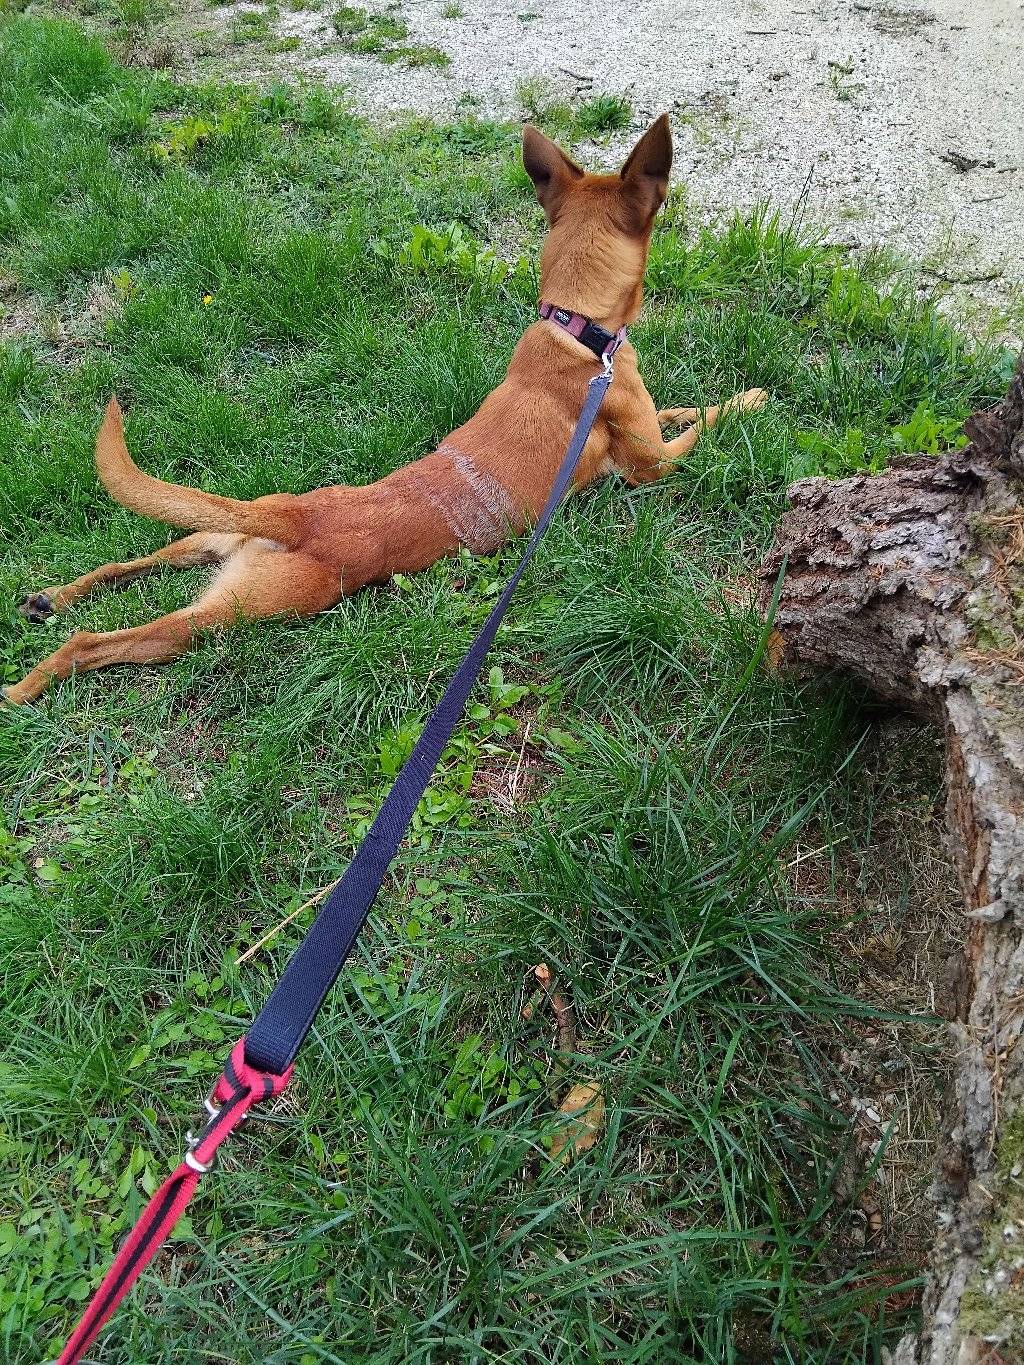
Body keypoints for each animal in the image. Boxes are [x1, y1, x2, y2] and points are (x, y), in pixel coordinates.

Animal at [4, 115, 765, 705]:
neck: (573, 328)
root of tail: (297, 518)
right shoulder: (652, 467)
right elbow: (706, 421)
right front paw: (753, 400)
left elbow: (685, 406)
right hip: (232, 617)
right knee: (100, 641)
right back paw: (27, 684)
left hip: (212, 541)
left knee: (129, 564)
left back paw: (51, 598)